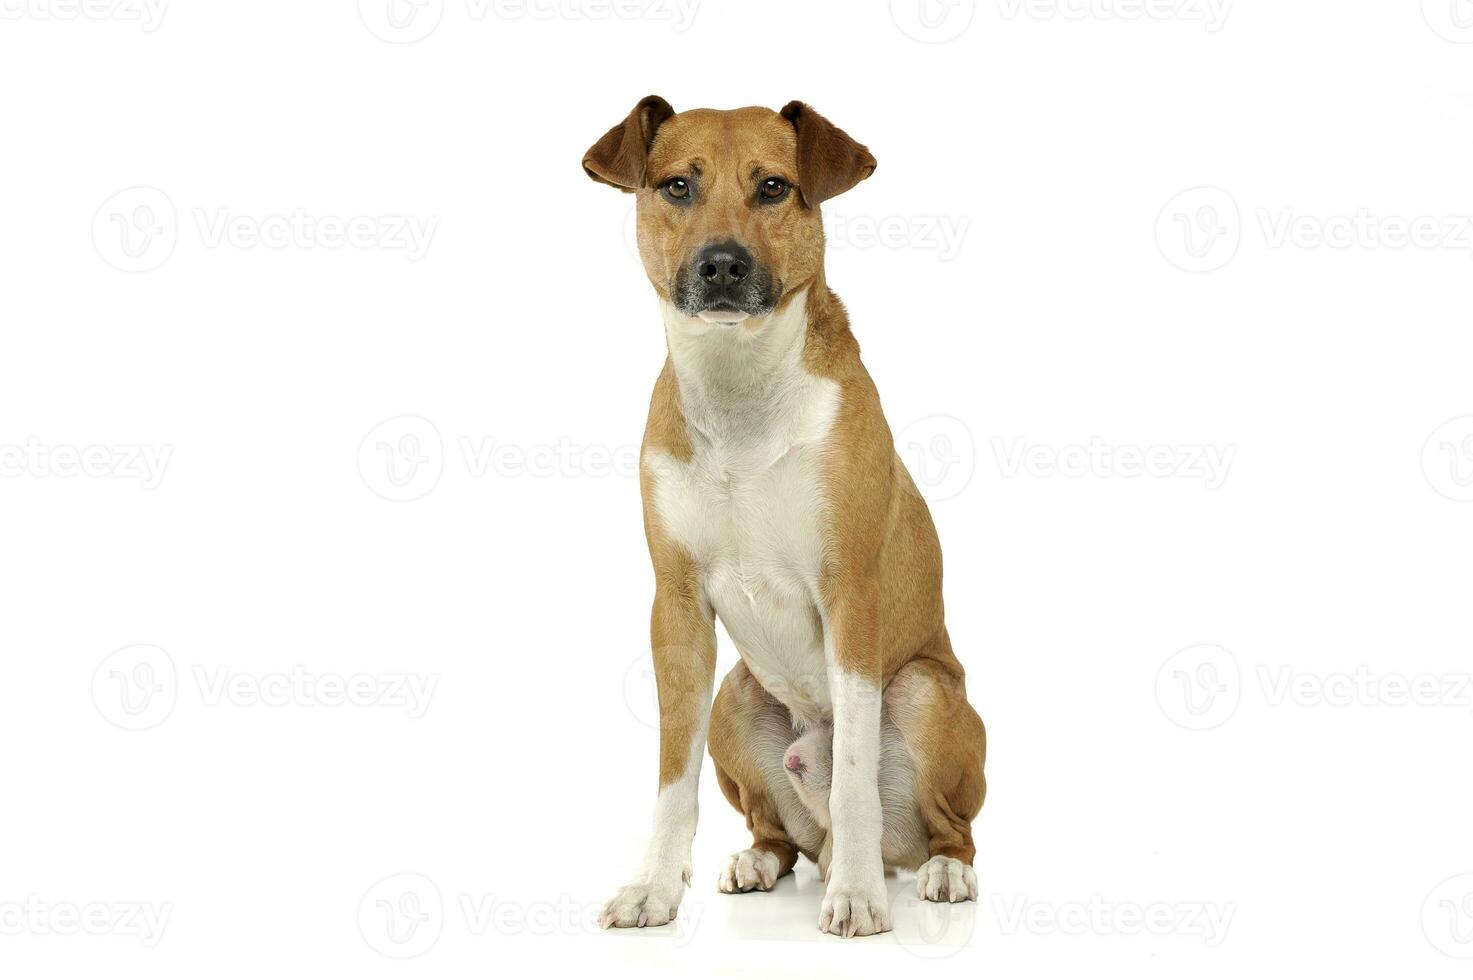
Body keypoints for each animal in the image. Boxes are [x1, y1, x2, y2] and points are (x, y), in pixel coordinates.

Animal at [580, 99, 983, 943]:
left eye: (772, 187)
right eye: (676, 186)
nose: (722, 265)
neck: (739, 391)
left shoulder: (849, 592)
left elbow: (855, 771)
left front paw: (858, 897)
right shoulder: (675, 606)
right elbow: (672, 775)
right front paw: (653, 889)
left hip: (923, 690)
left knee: (946, 824)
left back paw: (934, 871)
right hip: (733, 699)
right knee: (780, 831)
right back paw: (757, 861)